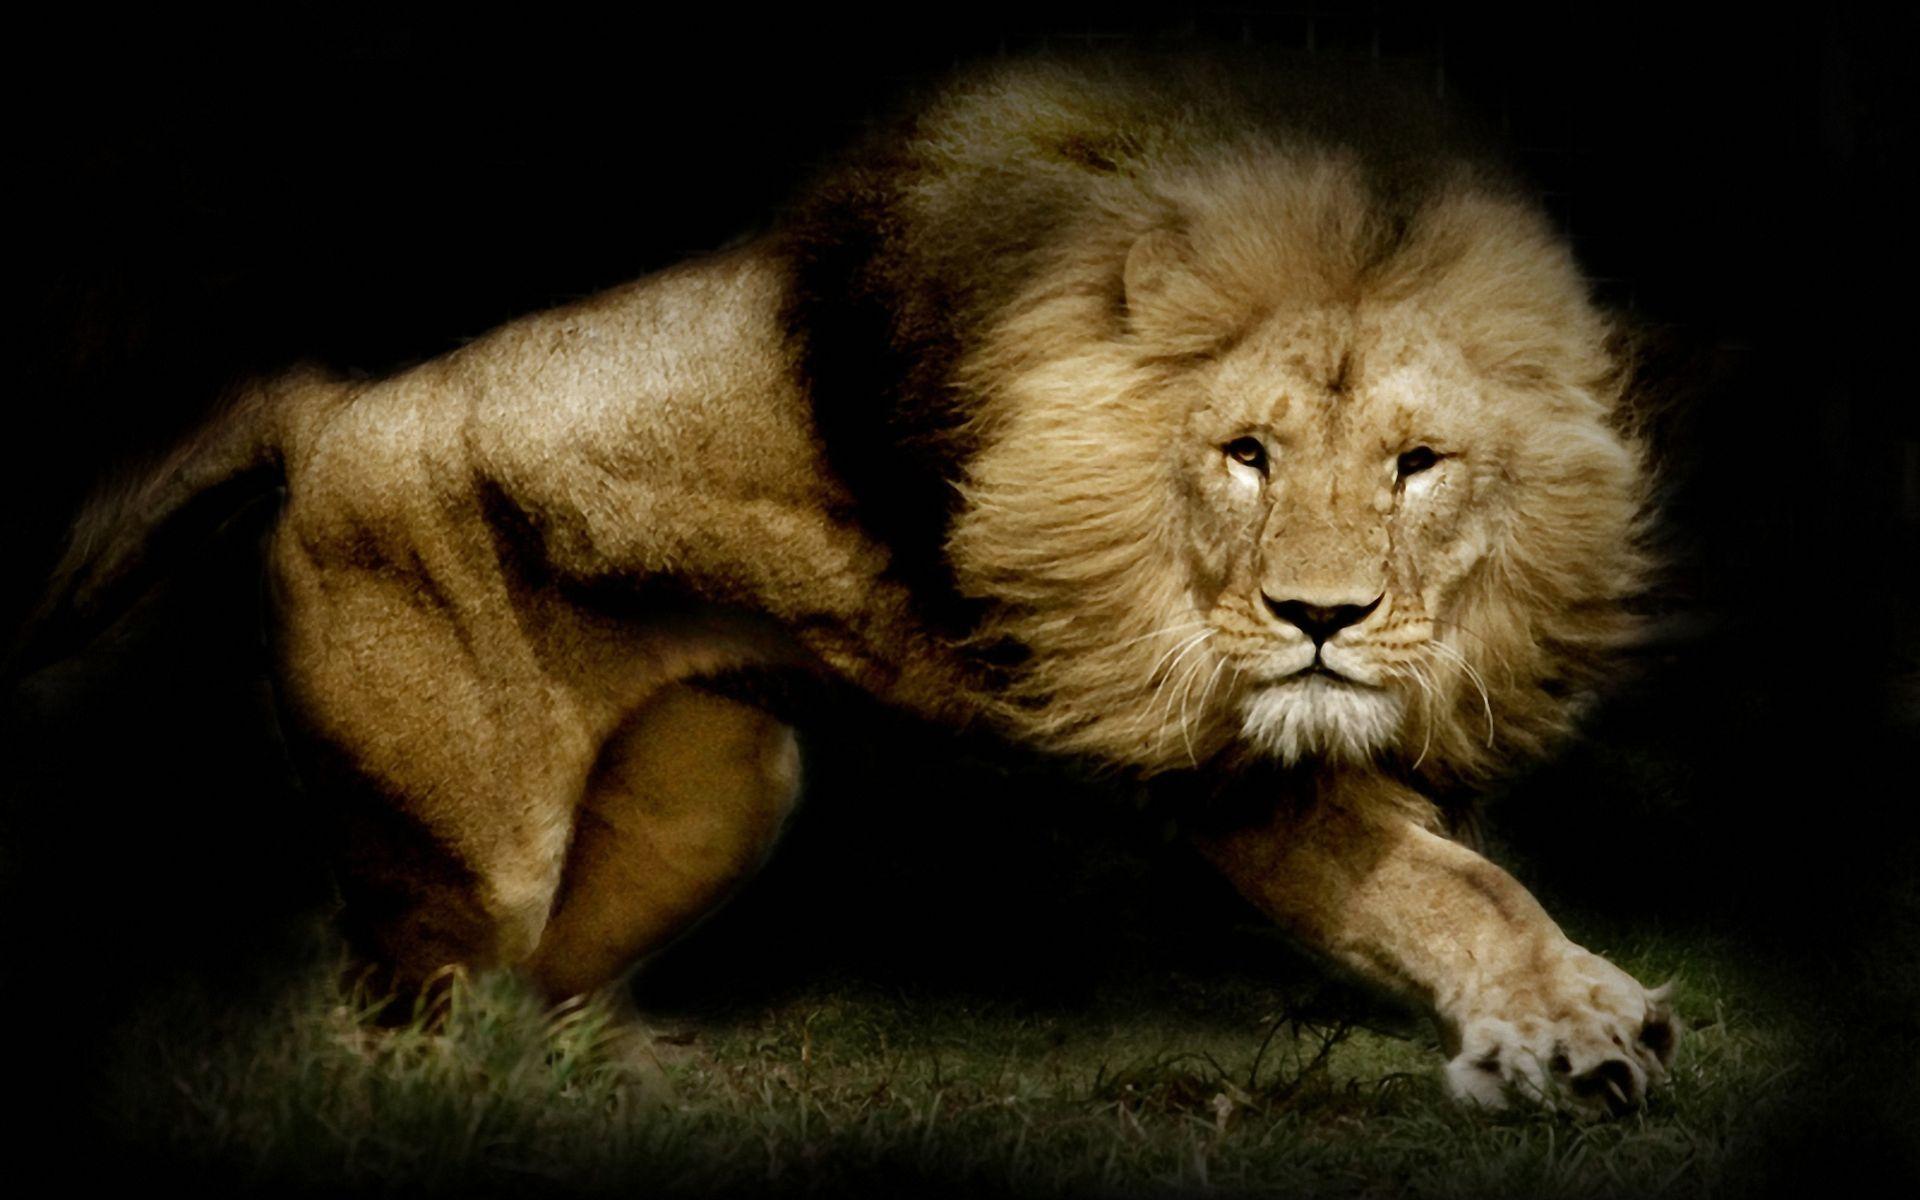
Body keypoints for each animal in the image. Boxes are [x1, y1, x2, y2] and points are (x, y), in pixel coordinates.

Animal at [25, 56, 1677, 1115]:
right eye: (1245, 455)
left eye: (1420, 464)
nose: (1320, 621)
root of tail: (326, 408)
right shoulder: (1201, 751)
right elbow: (1443, 883)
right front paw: (1573, 1026)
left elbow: (1453, 855)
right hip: (463, 856)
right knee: (382, 1027)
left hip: (715, 793)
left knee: (537, 990)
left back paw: (620, 1084)